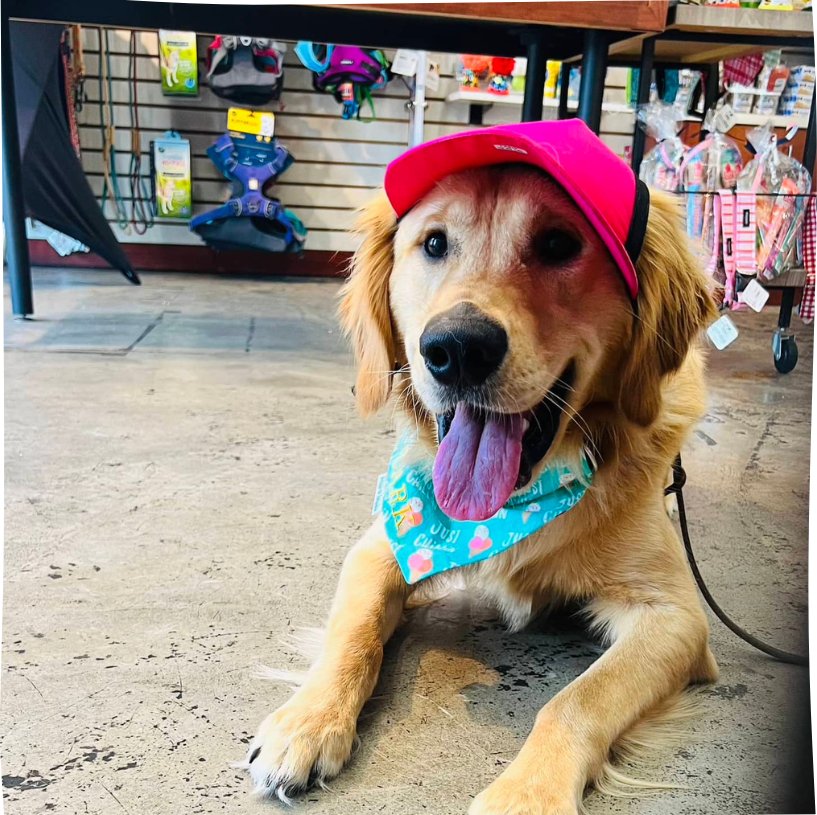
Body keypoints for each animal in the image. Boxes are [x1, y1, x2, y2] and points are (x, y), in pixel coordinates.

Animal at [245, 139, 716, 808]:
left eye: (558, 244)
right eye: (435, 243)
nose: (457, 350)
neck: (518, 501)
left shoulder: (676, 618)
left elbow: (576, 699)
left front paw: (527, 795)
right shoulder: (386, 542)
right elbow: (352, 634)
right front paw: (306, 722)